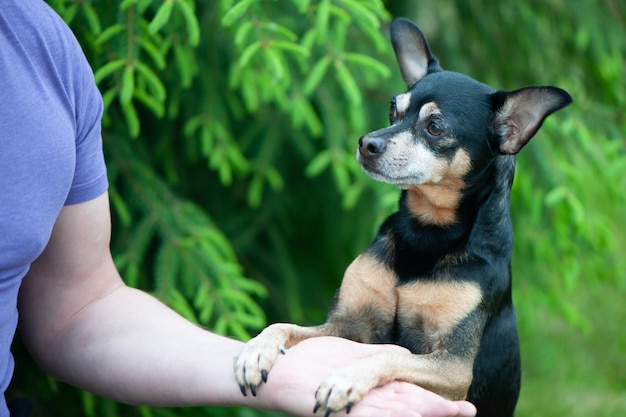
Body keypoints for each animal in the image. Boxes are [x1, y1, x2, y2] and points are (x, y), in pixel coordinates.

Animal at [233, 17, 572, 416]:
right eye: (393, 109)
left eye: (435, 127)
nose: (367, 143)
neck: (426, 232)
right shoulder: (346, 325)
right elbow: (283, 325)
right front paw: (256, 350)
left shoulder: (454, 367)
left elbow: (392, 356)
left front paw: (346, 378)